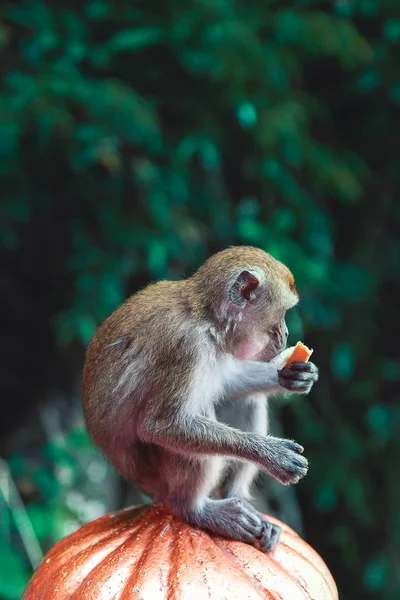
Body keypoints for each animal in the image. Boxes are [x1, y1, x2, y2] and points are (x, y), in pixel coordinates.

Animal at [82, 246, 318, 552]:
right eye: (283, 312)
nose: (287, 334)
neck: (207, 320)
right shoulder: (186, 348)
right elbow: (160, 425)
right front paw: (272, 454)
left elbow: (229, 380)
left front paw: (294, 375)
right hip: (160, 477)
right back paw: (196, 509)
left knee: (247, 400)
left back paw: (235, 495)